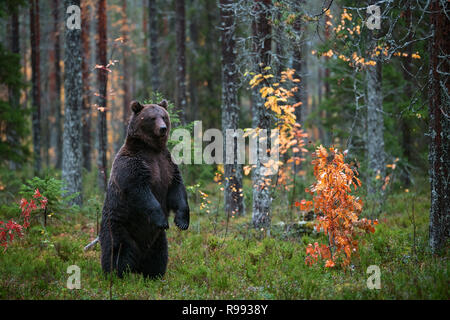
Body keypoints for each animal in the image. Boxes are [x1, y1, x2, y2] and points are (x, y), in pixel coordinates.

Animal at [99, 99, 189, 278]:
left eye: (163, 116)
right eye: (152, 118)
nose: (163, 128)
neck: (152, 149)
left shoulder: (167, 165)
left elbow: (177, 190)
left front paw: (182, 221)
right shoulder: (132, 166)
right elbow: (141, 192)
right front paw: (163, 220)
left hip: (157, 240)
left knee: (159, 256)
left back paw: (154, 275)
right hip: (119, 228)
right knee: (118, 252)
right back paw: (116, 274)